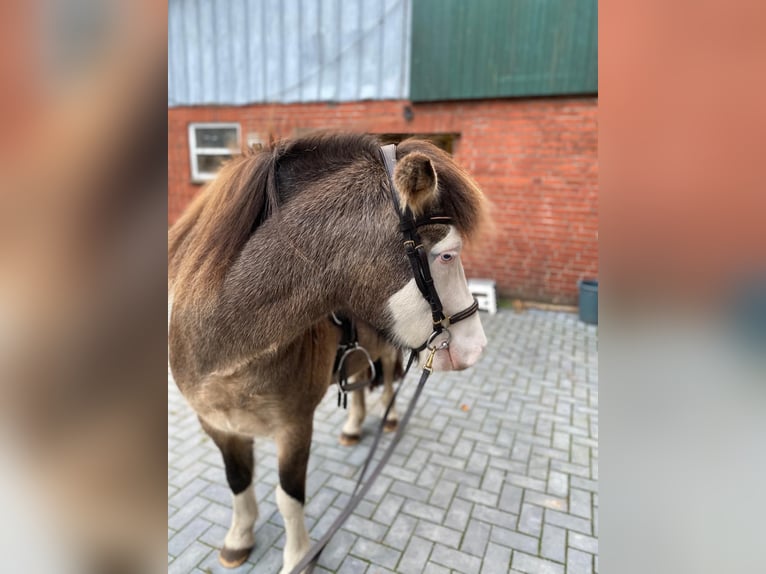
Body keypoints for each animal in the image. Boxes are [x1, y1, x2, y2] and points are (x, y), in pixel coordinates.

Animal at [168, 132, 488, 573]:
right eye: (447, 254)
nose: (476, 346)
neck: (226, 353)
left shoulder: (294, 426)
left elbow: (288, 498)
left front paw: (298, 556)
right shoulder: (217, 424)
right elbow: (237, 482)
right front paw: (239, 538)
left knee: (387, 377)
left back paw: (388, 418)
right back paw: (353, 426)